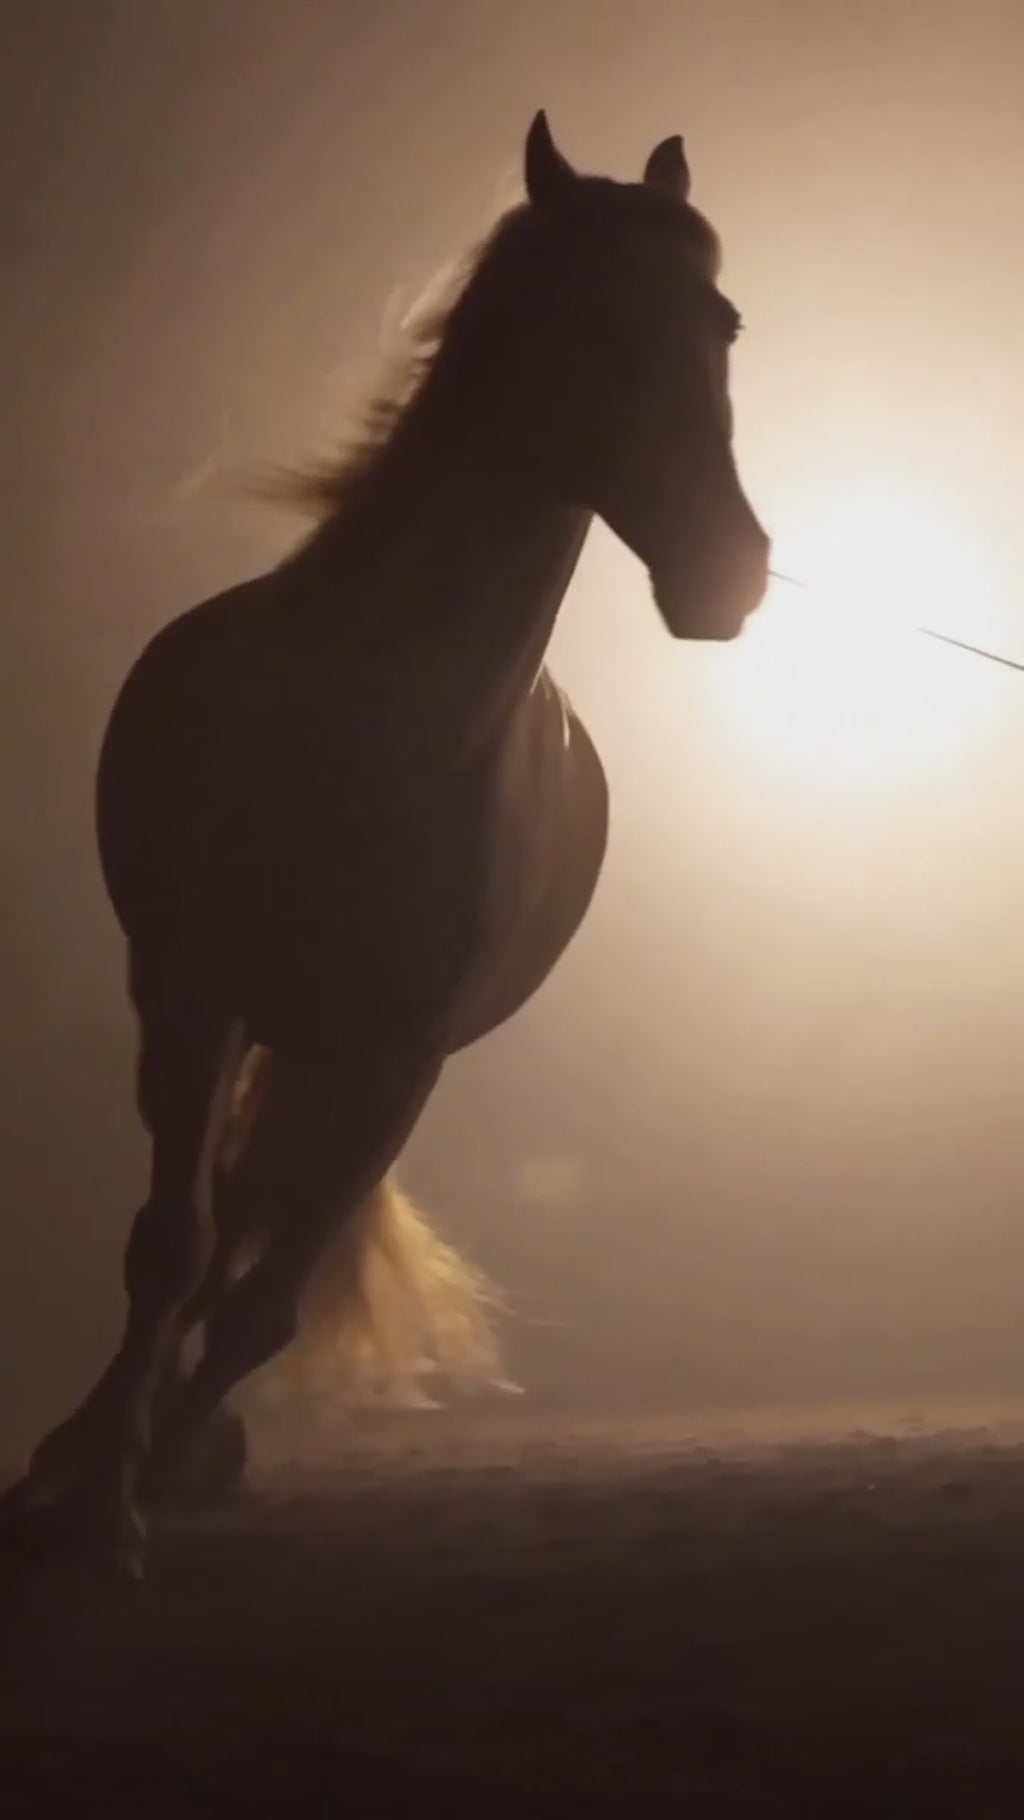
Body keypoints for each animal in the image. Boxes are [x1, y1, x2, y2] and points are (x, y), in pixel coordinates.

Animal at [1, 113, 770, 1581]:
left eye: (720, 323)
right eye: (576, 313)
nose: (728, 571)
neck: (387, 725)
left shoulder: (398, 1053)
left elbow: (256, 1299)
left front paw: (161, 1470)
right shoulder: (197, 993)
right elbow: (167, 1246)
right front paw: (98, 1503)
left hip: (344, 1060)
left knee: (253, 1241)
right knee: (208, 1223)